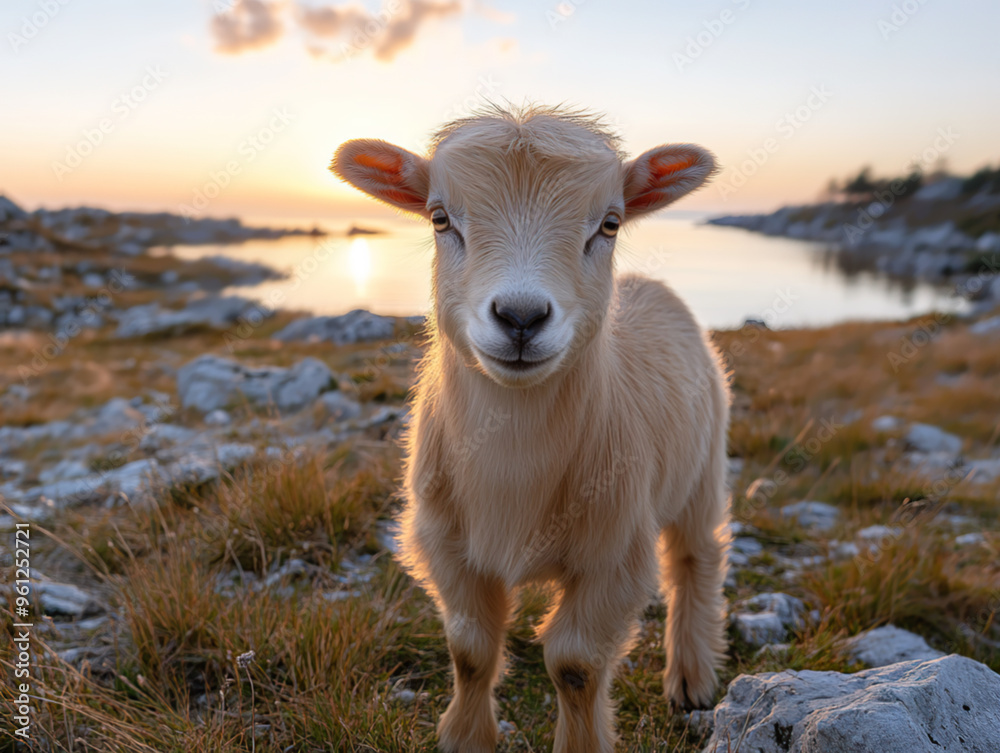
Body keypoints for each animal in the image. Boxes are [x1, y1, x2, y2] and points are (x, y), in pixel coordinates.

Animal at [332, 105, 730, 753]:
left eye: (610, 224)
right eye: (440, 218)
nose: (520, 317)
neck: (514, 461)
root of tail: (647, 285)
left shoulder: (615, 553)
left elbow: (575, 664)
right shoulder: (446, 544)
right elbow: (470, 649)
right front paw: (466, 737)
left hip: (705, 467)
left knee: (696, 558)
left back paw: (692, 676)